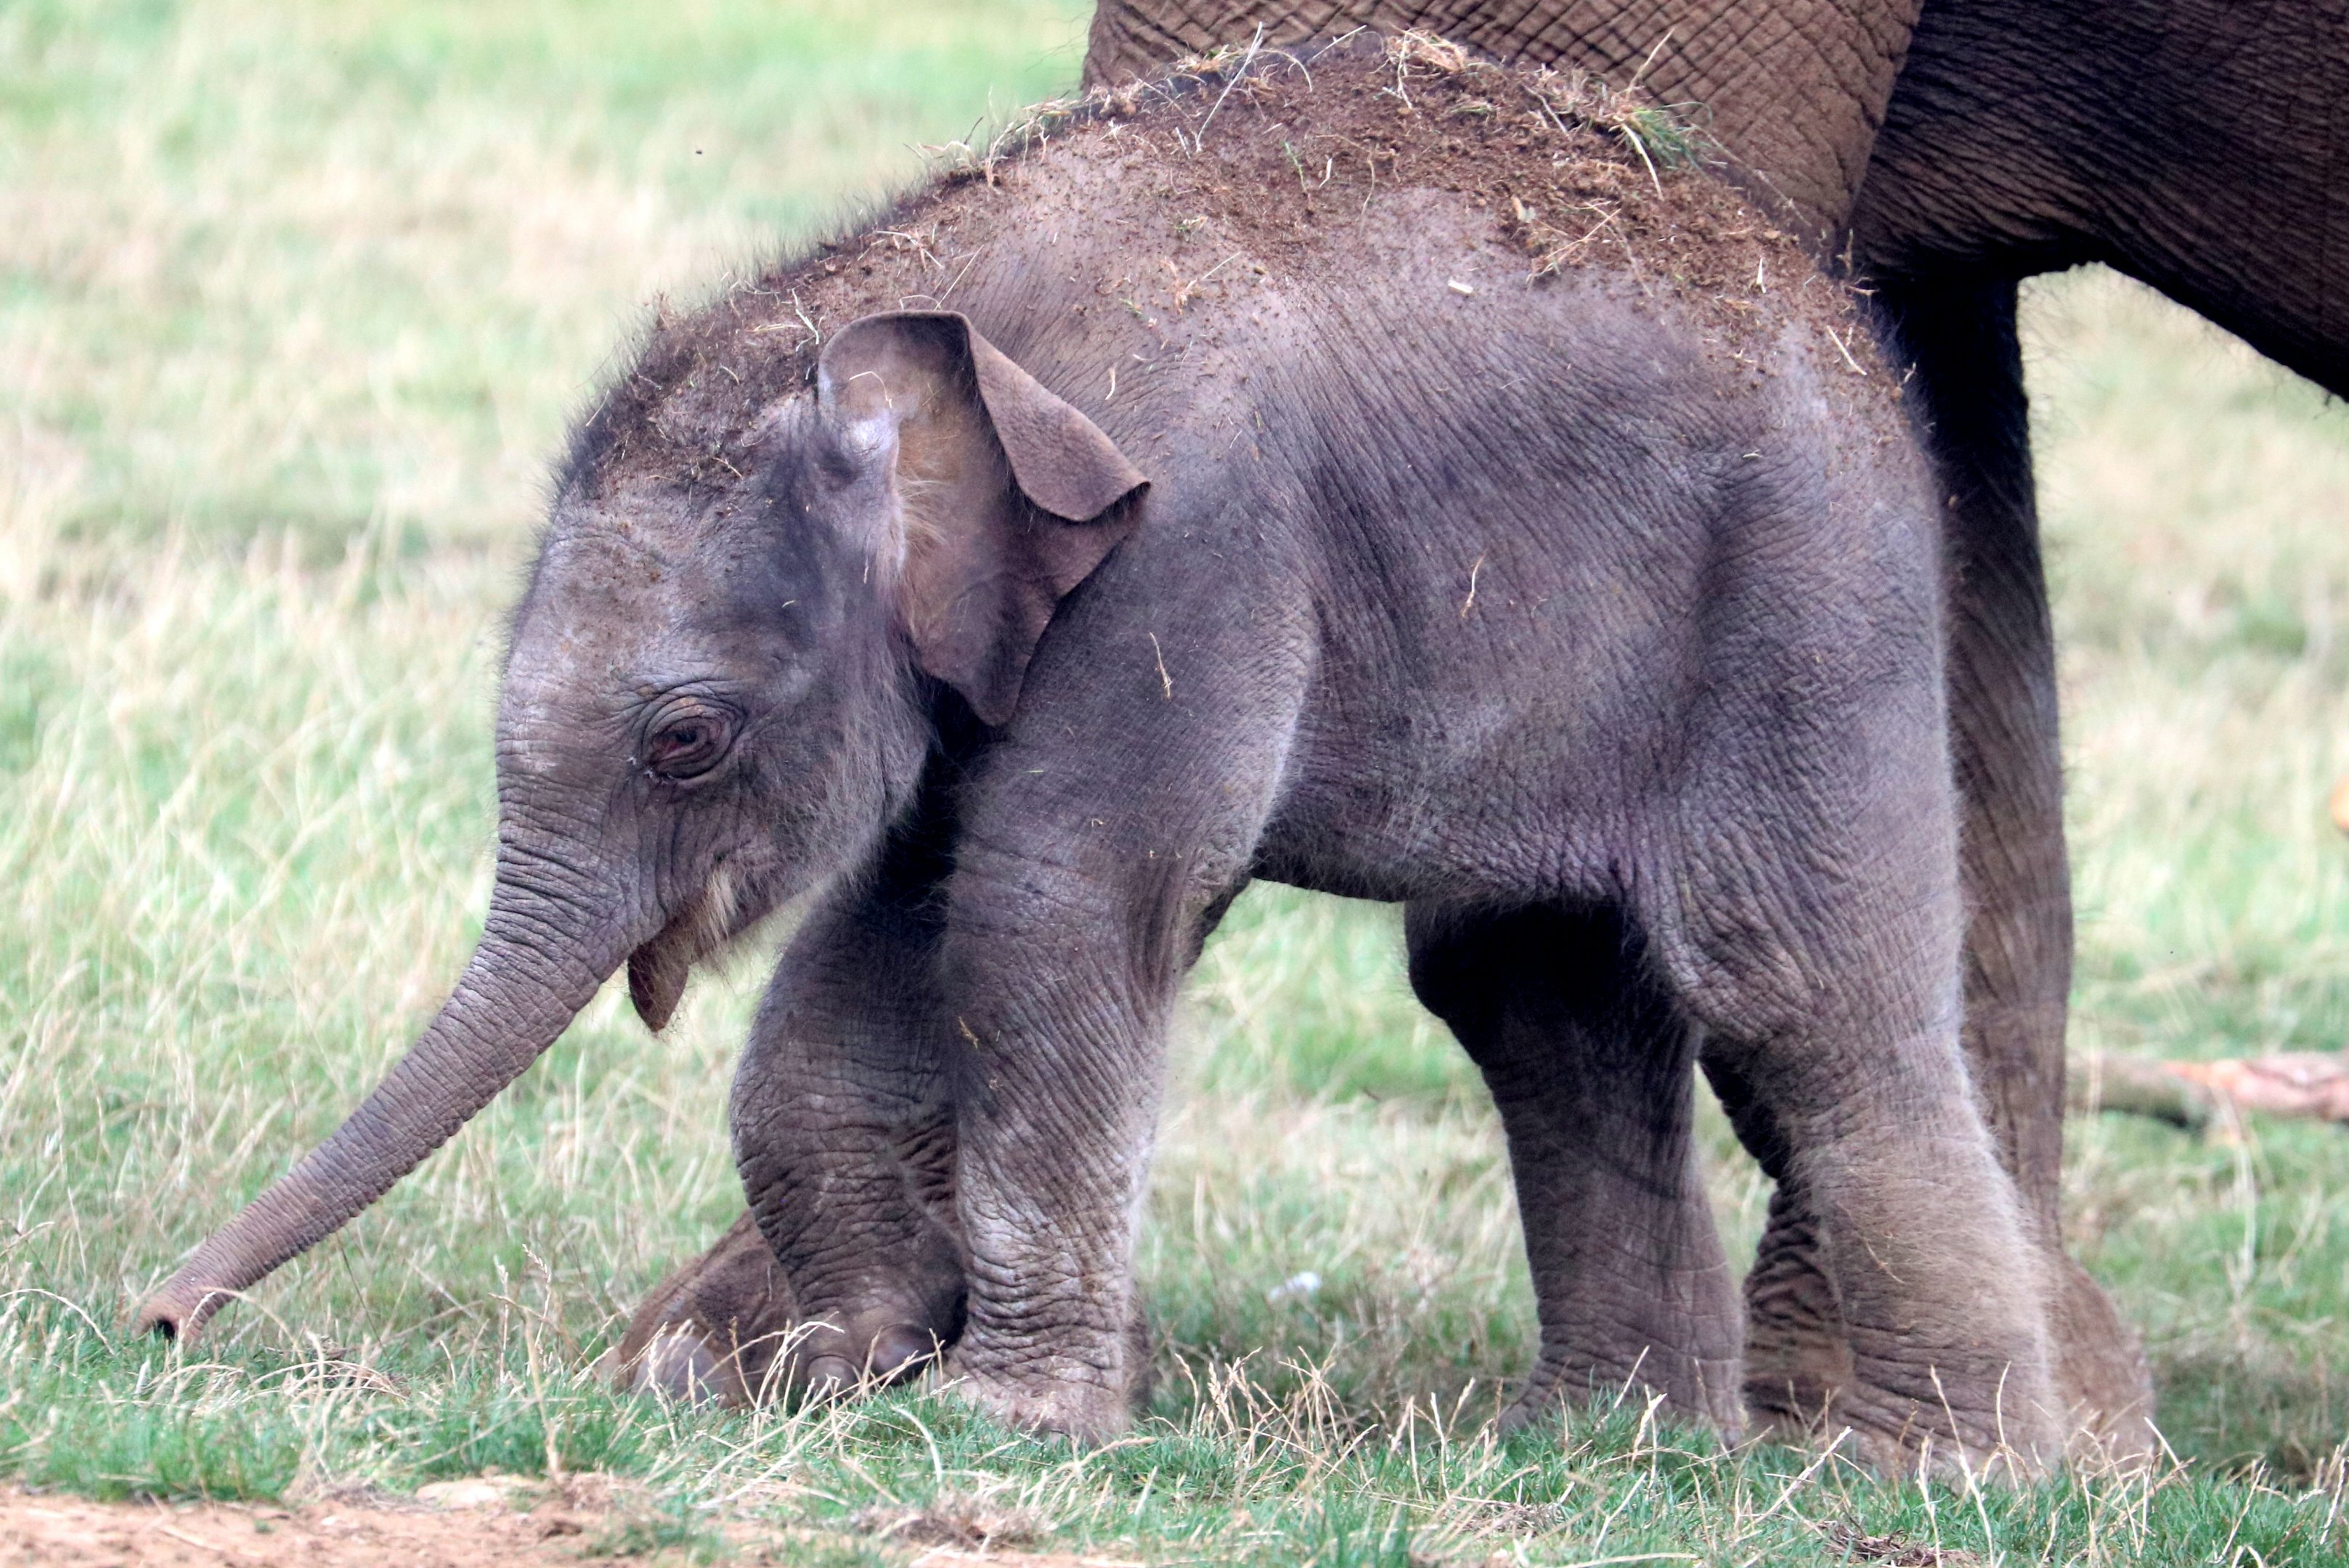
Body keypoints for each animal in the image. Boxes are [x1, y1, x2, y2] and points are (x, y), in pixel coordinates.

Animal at [140, 41, 2065, 1470]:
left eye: (685, 738)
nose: (154, 1324)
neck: (913, 306)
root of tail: (1842, 318)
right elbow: (890, 922)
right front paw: (843, 1369)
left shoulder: (1188, 536)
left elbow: (1041, 905)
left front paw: (998, 1418)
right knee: (1548, 993)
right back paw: (1604, 1449)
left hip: (1806, 615)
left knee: (1798, 999)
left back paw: (1936, 1473)